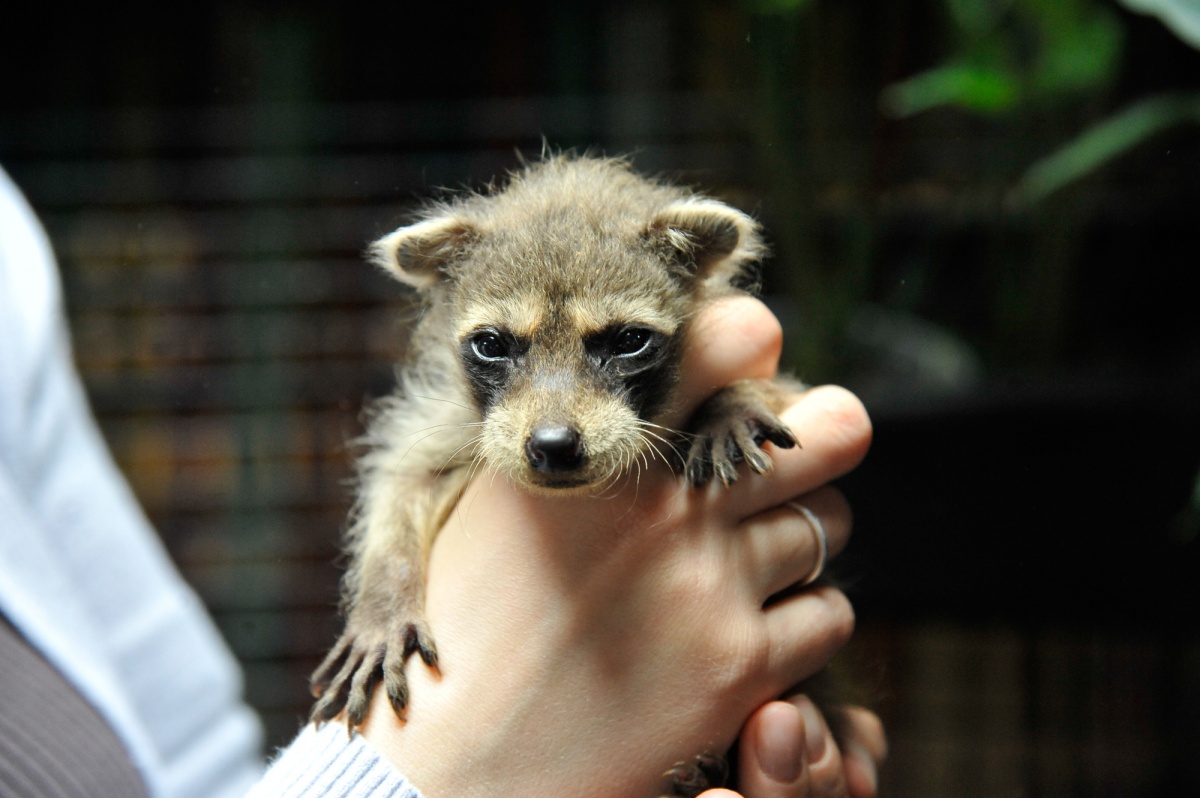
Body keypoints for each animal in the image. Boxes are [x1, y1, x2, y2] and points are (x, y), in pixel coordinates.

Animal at [309, 156, 796, 796]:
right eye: (493, 344)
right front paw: (385, 592)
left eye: (628, 340)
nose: (554, 445)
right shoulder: (451, 420)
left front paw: (734, 397)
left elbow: (785, 386)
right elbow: (400, 479)